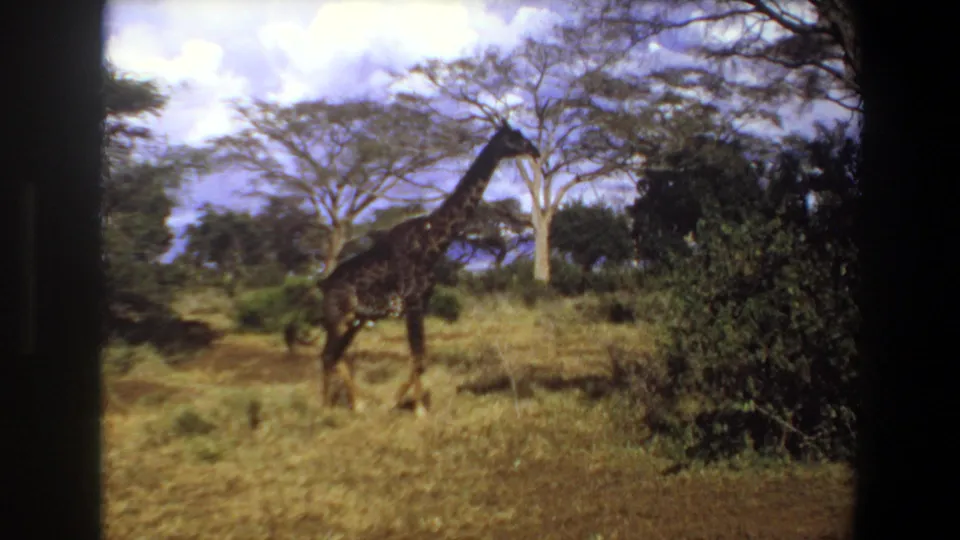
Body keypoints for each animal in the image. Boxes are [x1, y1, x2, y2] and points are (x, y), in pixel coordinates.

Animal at [315, 121, 541, 417]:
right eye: (514, 137)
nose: (535, 150)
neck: (432, 242)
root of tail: (323, 285)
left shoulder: (422, 302)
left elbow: (421, 355)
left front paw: (406, 403)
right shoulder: (412, 303)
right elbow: (418, 356)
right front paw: (415, 408)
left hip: (356, 319)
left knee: (336, 354)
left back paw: (355, 403)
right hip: (338, 316)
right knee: (328, 354)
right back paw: (330, 407)